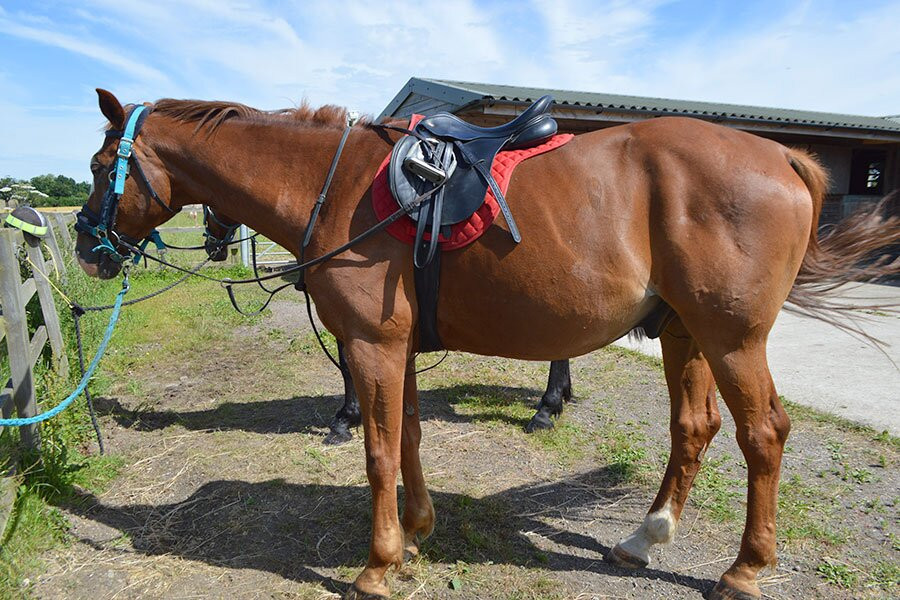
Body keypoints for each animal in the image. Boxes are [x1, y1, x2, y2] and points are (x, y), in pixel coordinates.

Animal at [77, 90, 900, 600]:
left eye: (98, 166)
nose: (87, 248)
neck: (332, 185)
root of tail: (781, 156)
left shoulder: (371, 346)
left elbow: (377, 451)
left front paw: (376, 566)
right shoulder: (398, 349)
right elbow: (407, 437)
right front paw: (416, 533)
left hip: (732, 338)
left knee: (764, 435)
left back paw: (744, 570)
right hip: (685, 334)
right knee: (694, 429)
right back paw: (644, 537)